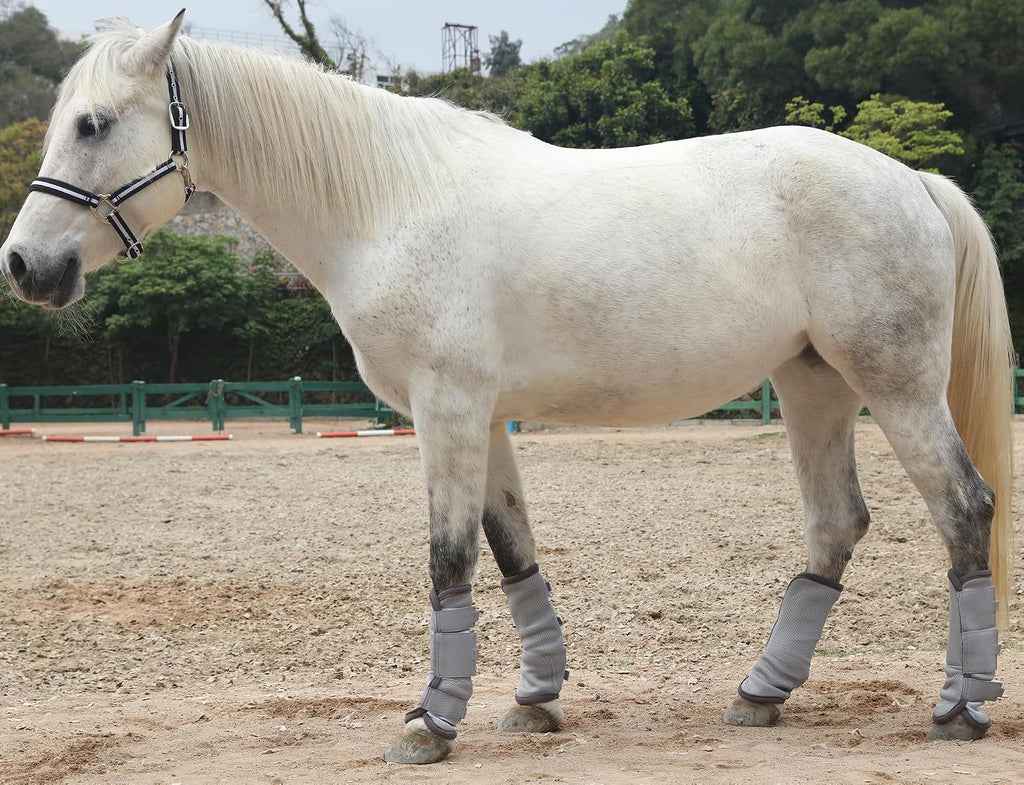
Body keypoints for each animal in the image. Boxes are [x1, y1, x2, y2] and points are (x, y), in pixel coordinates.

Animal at [0, 12, 1013, 765]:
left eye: (94, 124)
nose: (25, 266)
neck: (388, 204)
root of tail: (909, 178)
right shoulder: (482, 420)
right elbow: (512, 548)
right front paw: (533, 700)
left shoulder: (446, 410)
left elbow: (448, 557)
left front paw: (429, 721)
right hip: (814, 387)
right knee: (837, 524)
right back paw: (761, 693)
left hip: (895, 386)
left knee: (964, 509)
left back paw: (959, 708)